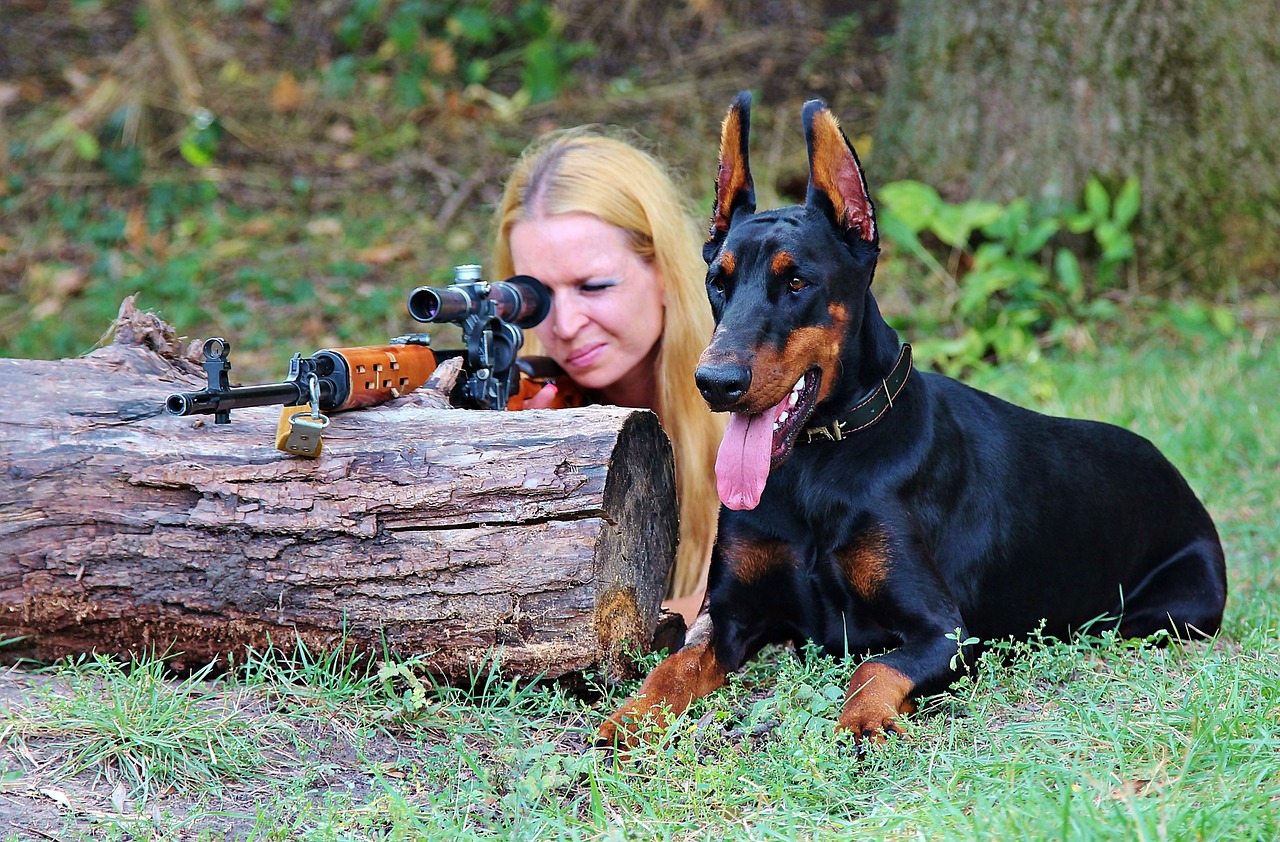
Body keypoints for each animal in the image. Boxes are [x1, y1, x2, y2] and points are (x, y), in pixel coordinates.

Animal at [593, 93, 1223, 747]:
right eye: (718, 281)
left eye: (797, 282)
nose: (715, 383)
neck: (817, 463)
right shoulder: (730, 614)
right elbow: (671, 667)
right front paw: (626, 721)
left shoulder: (945, 630)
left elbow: (873, 668)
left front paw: (863, 723)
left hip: (1173, 610)